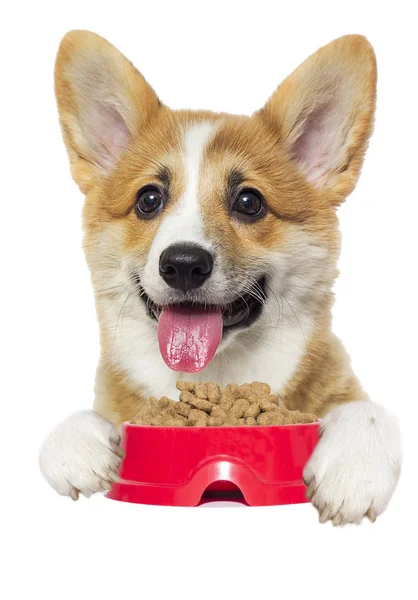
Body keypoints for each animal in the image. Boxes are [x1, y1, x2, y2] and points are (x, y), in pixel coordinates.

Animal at [40, 30, 402, 524]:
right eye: (148, 199)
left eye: (249, 202)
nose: (183, 264)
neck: (219, 374)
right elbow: (71, 428)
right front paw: (77, 446)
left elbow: (369, 411)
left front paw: (355, 470)